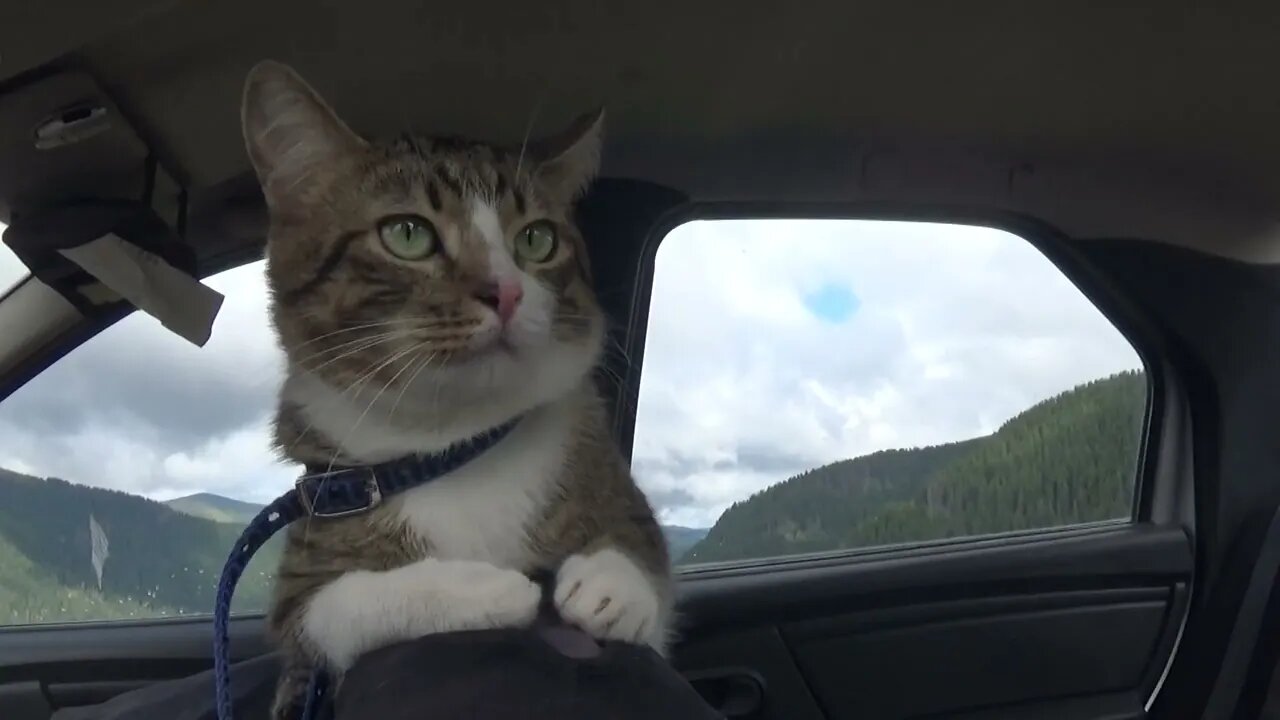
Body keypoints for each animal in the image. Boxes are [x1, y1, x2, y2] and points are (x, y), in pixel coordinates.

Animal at [241, 60, 680, 712]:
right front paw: (484, 588)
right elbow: (338, 604)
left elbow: (641, 542)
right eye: (407, 234)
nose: (508, 291)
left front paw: (612, 585)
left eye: (537, 239)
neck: (455, 438)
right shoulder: (310, 563)